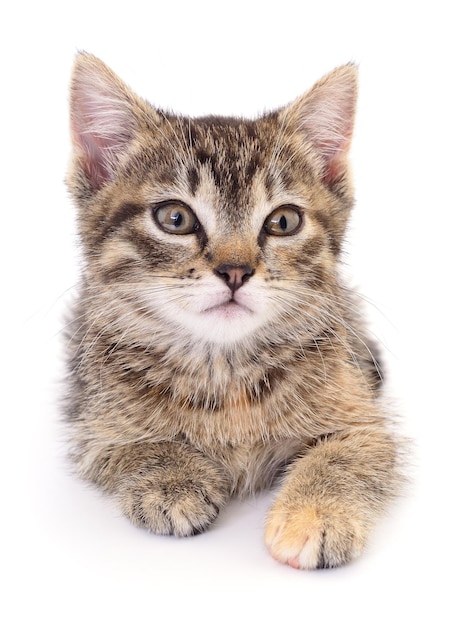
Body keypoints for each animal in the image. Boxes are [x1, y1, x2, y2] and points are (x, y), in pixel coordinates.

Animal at [64, 53, 398, 568]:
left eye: (283, 221)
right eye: (175, 218)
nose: (236, 270)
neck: (225, 372)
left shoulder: (362, 417)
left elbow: (349, 454)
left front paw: (315, 515)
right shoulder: (92, 421)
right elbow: (126, 445)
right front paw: (172, 477)